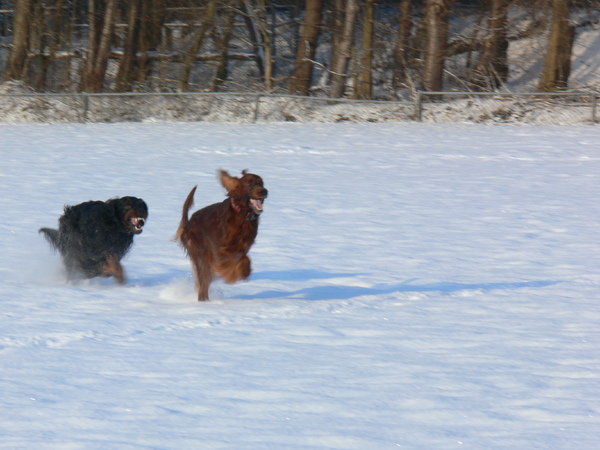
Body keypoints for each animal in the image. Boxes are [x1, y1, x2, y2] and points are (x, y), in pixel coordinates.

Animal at [173, 171, 268, 300]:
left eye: (261, 183)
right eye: (248, 183)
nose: (264, 191)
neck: (242, 215)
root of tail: (187, 225)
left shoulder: (243, 246)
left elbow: (245, 258)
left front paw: (243, 271)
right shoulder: (220, 249)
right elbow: (238, 259)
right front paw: (233, 275)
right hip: (202, 254)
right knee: (203, 285)